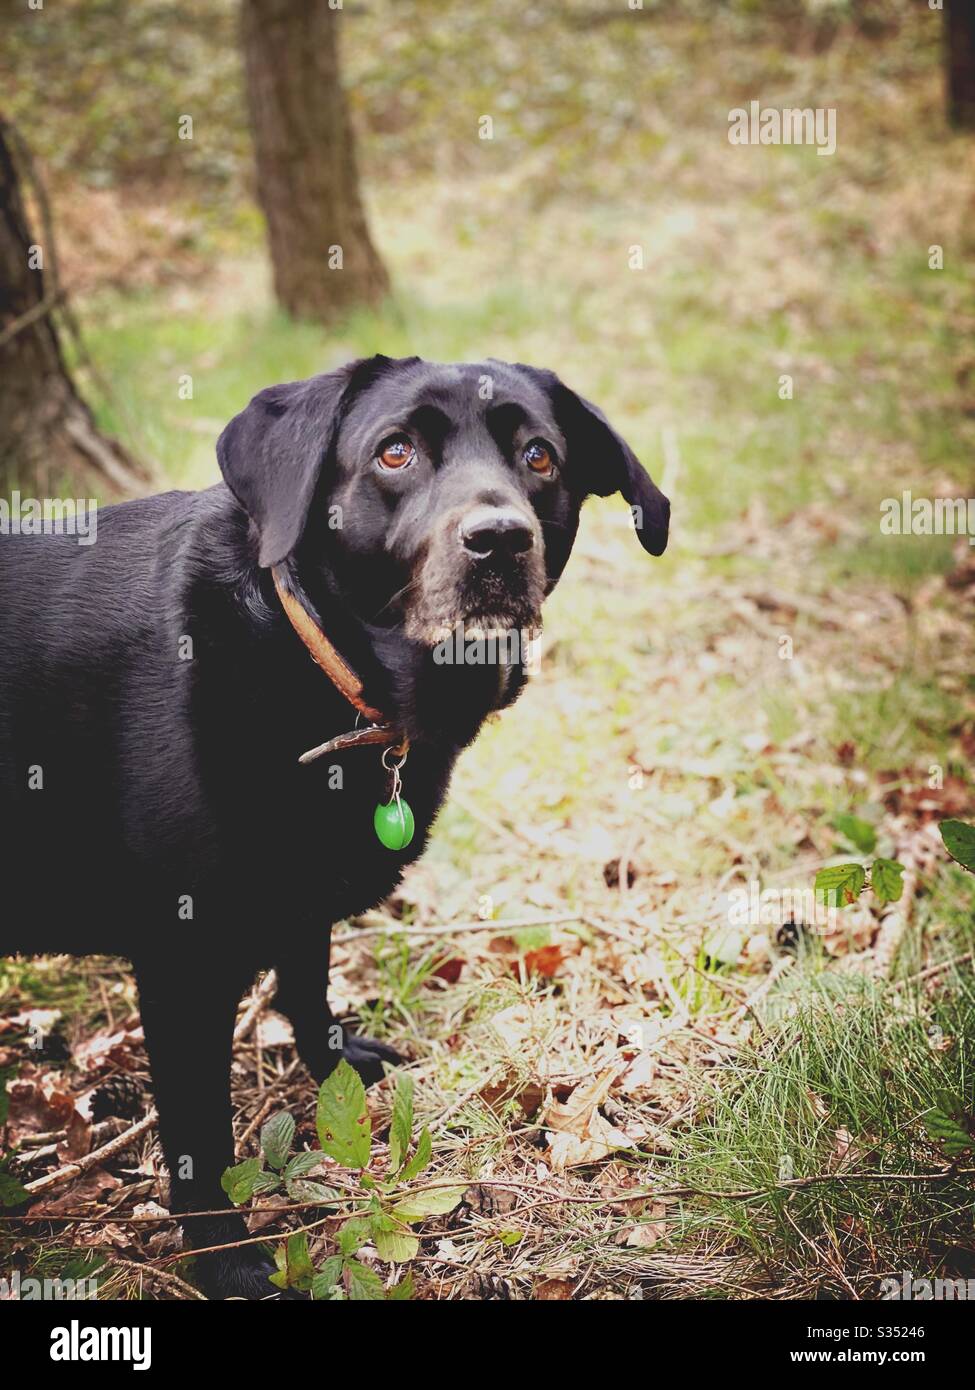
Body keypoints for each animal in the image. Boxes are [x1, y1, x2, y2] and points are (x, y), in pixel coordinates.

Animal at [0, 353, 664, 1295]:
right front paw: (225, 1258)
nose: (499, 539)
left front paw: (334, 1062)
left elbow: (307, 974)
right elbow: (199, 1133)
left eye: (538, 457)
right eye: (394, 452)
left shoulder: (297, 893)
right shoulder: (181, 961)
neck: (322, 661)